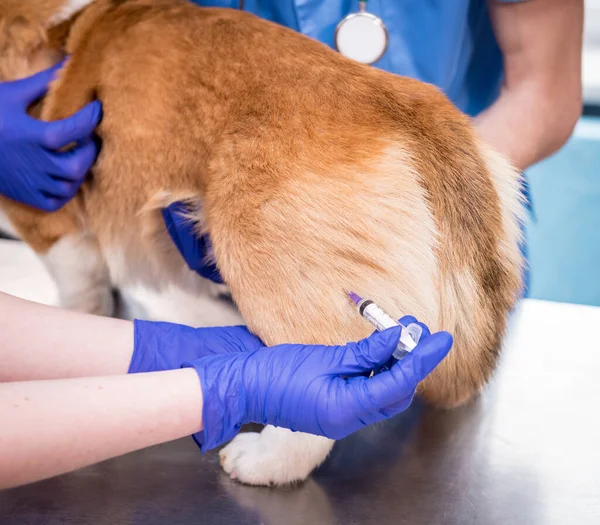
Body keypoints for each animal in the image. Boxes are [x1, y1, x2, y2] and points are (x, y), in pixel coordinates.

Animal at [0, 0, 520, 488]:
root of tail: (408, 110)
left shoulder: (49, 220)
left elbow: (79, 283)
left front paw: (80, 314)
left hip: (267, 263)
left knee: (315, 394)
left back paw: (265, 459)